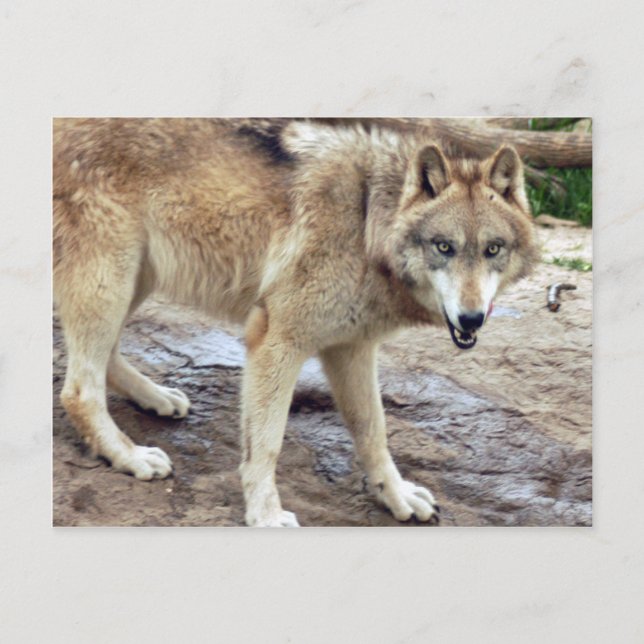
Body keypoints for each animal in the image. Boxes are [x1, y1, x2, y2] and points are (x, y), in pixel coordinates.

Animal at [53, 118, 538, 527]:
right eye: (444, 247)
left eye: (493, 249)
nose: (471, 318)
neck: (365, 220)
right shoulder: (275, 341)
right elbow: (267, 444)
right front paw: (265, 516)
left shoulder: (352, 348)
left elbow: (374, 432)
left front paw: (396, 495)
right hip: (110, 279)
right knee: (77, 391)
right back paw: (130, 456)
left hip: (137, 276)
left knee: (105, 360)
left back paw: (157, 398)